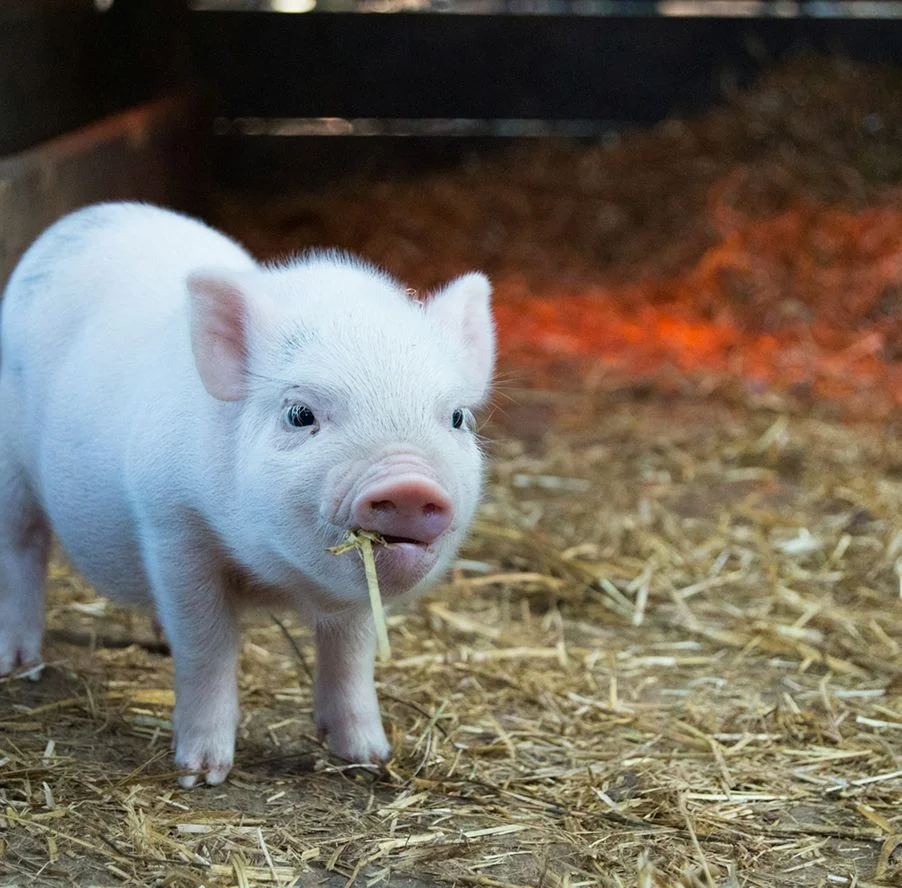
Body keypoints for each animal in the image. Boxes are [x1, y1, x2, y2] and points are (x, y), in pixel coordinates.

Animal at [0, 202, 494, 787]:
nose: (410, 483)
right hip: (10, 470)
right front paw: (201, 774)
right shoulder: (172, 524)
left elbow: (351, 653)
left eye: (457, 418)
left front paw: (369, 758)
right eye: (299, 414)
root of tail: (82, 217)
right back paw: (19, 666)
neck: (278, 579)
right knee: (22, 550)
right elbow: (208, 645)